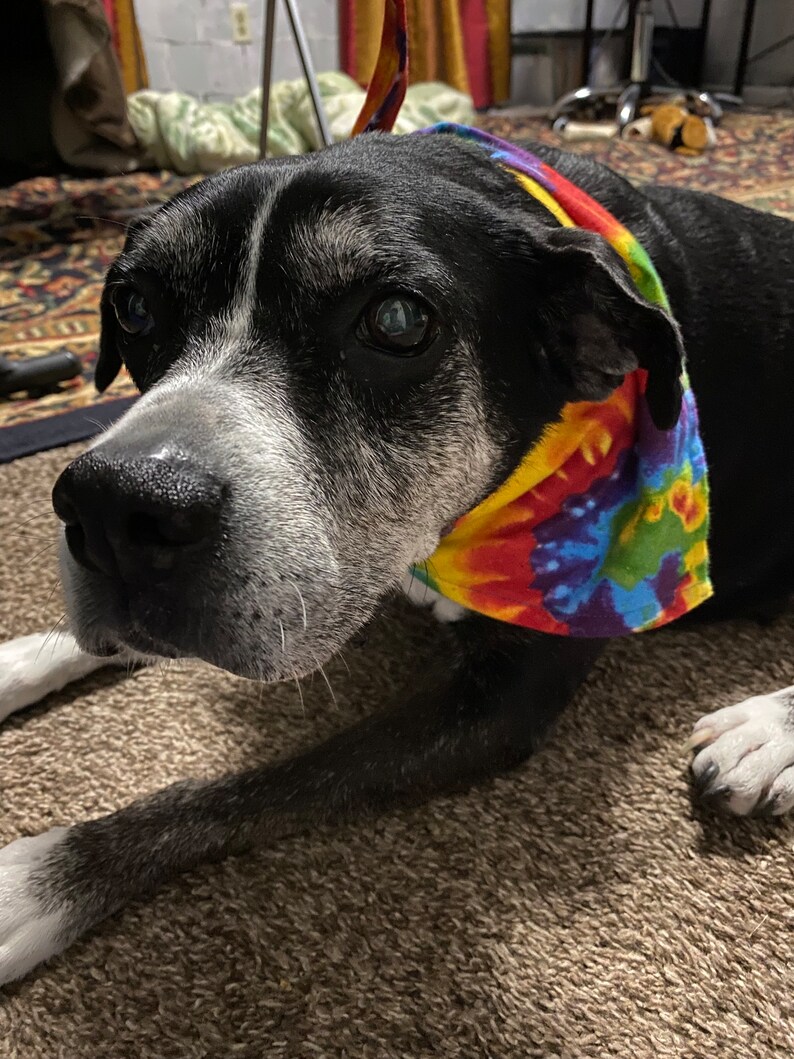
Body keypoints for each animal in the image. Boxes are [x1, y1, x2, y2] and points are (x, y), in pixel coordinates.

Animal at [1, 132, 794, 982]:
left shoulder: (501, 696)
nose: (114, 507)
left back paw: (764, 737)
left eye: (397, 320)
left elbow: (260, 784)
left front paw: (42, 879)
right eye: (134, 306)